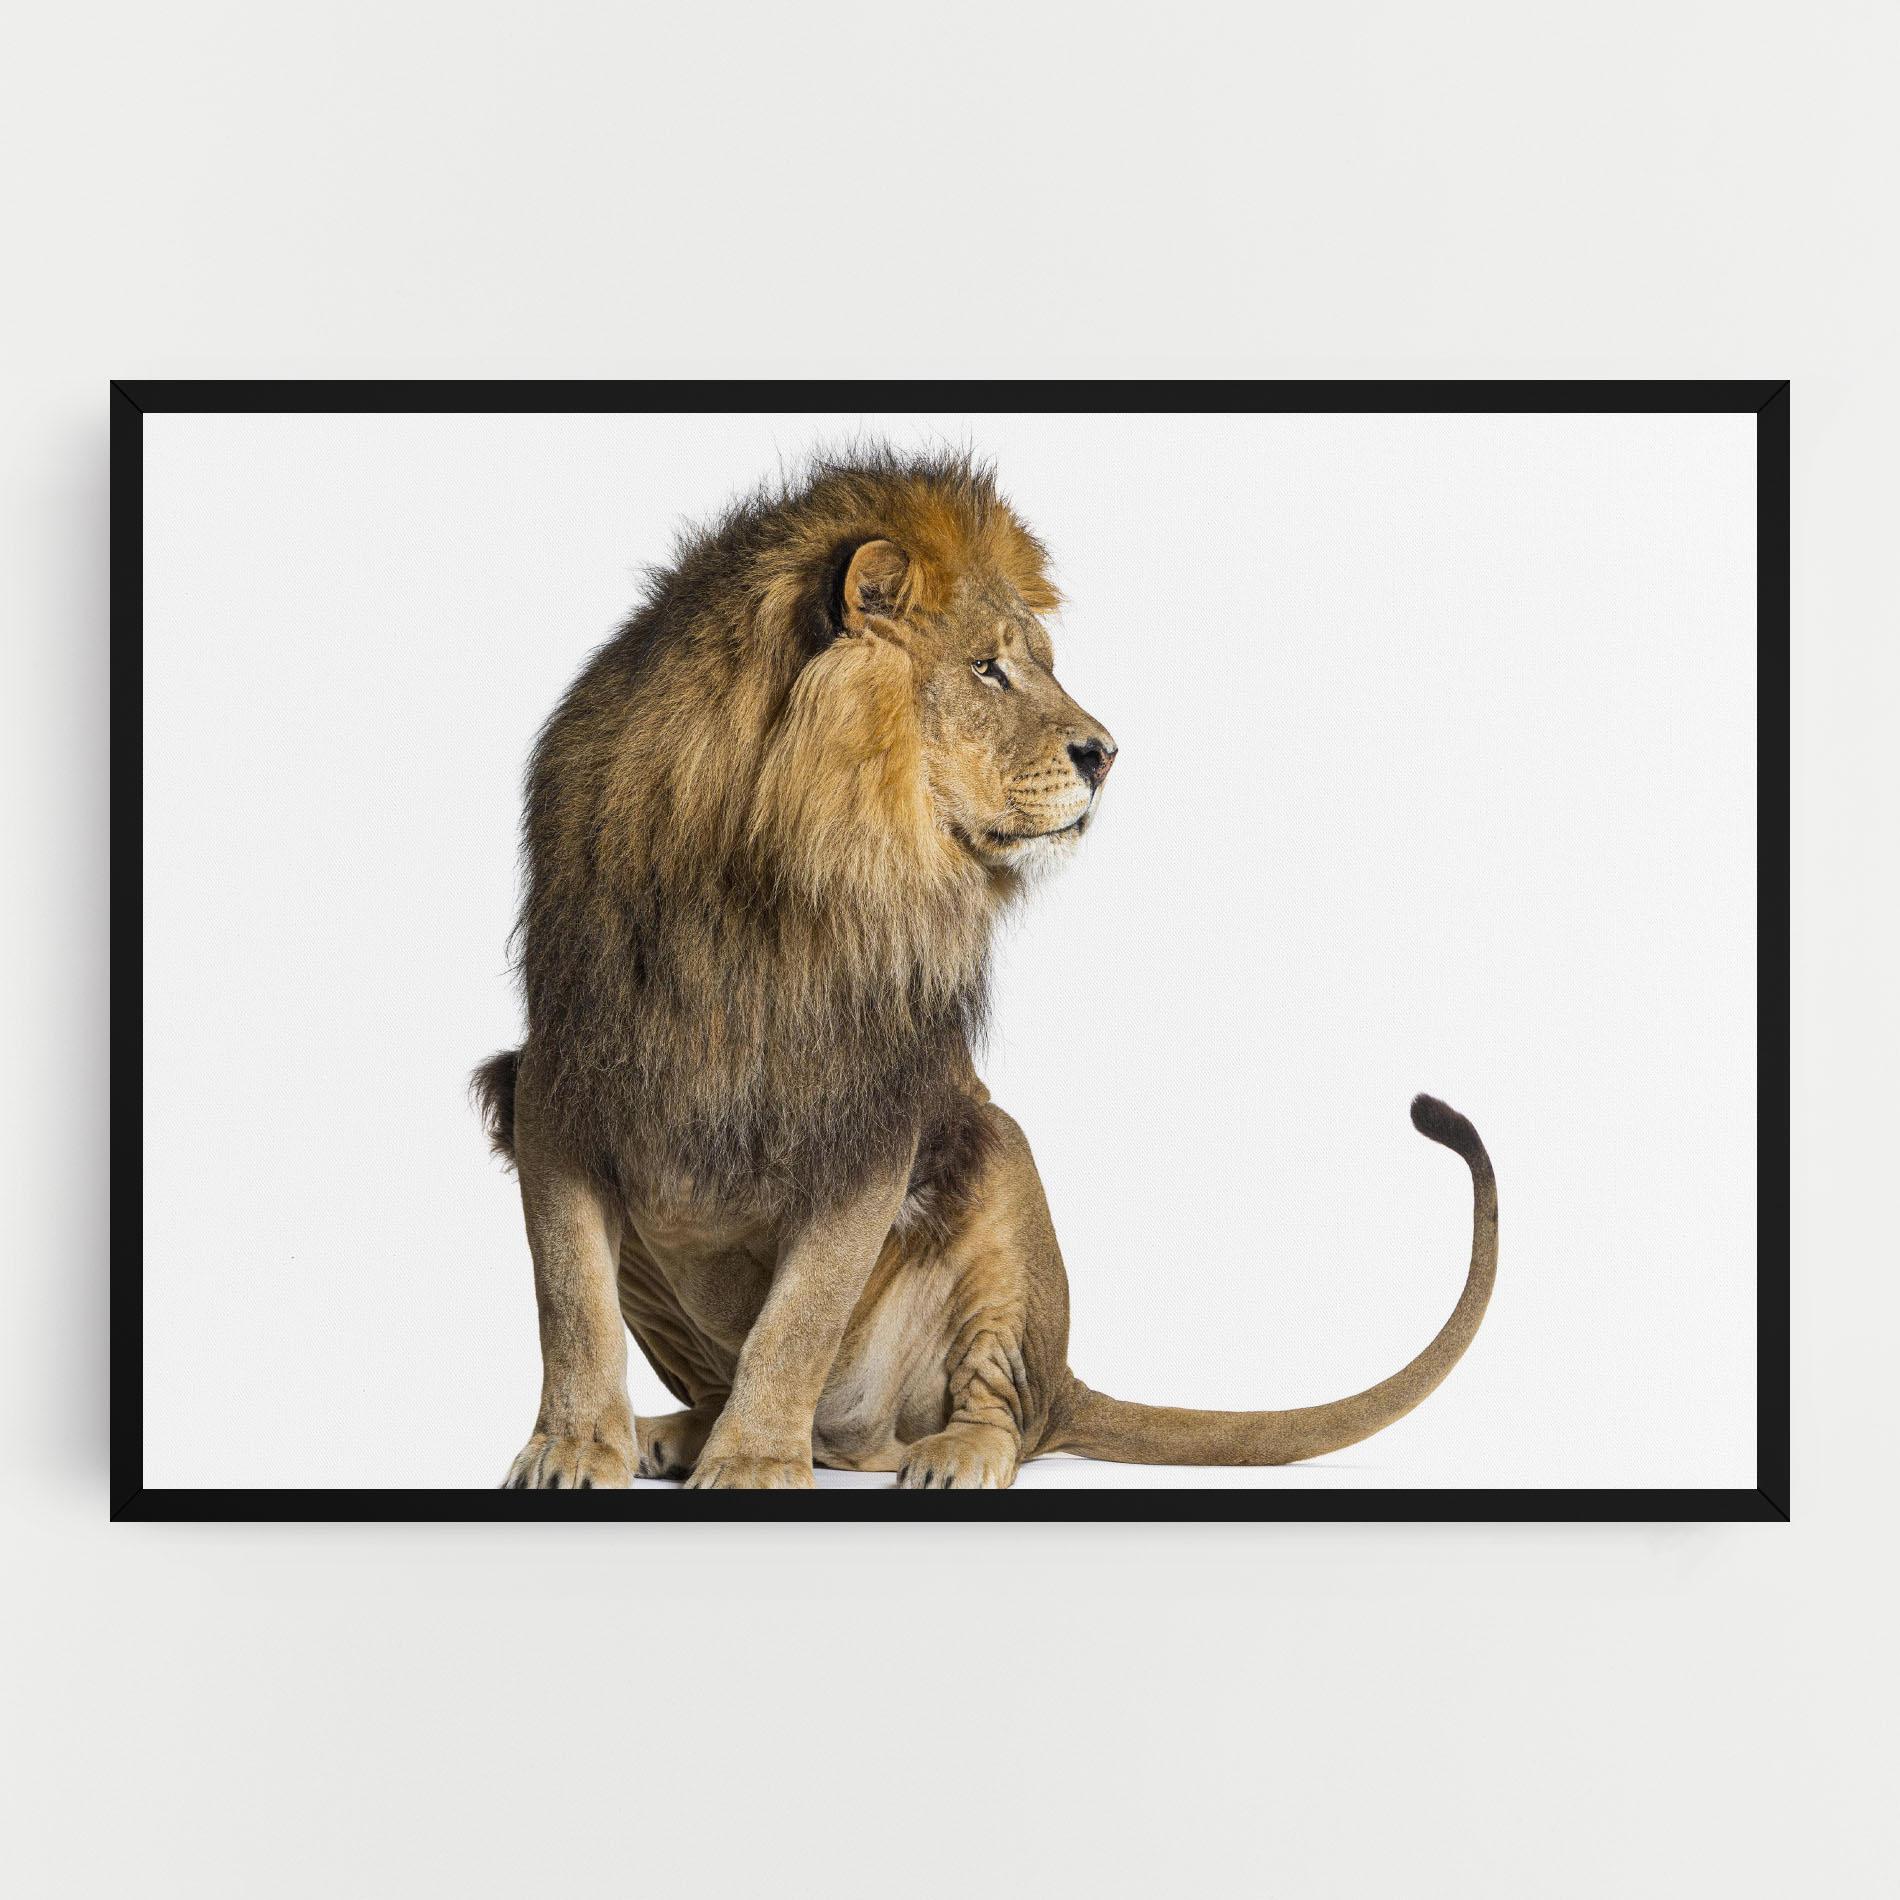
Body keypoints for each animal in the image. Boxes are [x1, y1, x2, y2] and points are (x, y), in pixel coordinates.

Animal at [475, 449, 1498, 1489]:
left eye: (1036, 664)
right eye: (986, 668)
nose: (1107, 755)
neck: (764, 879)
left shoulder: (873, 1113)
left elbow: (798, 1319)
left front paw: (755, 1462)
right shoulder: (558, 1078)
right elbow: (571, 1300)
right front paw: (576, 1447)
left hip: (998, 1167)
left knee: (1002, 1407)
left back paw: (947, 1451)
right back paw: (679, 1434)